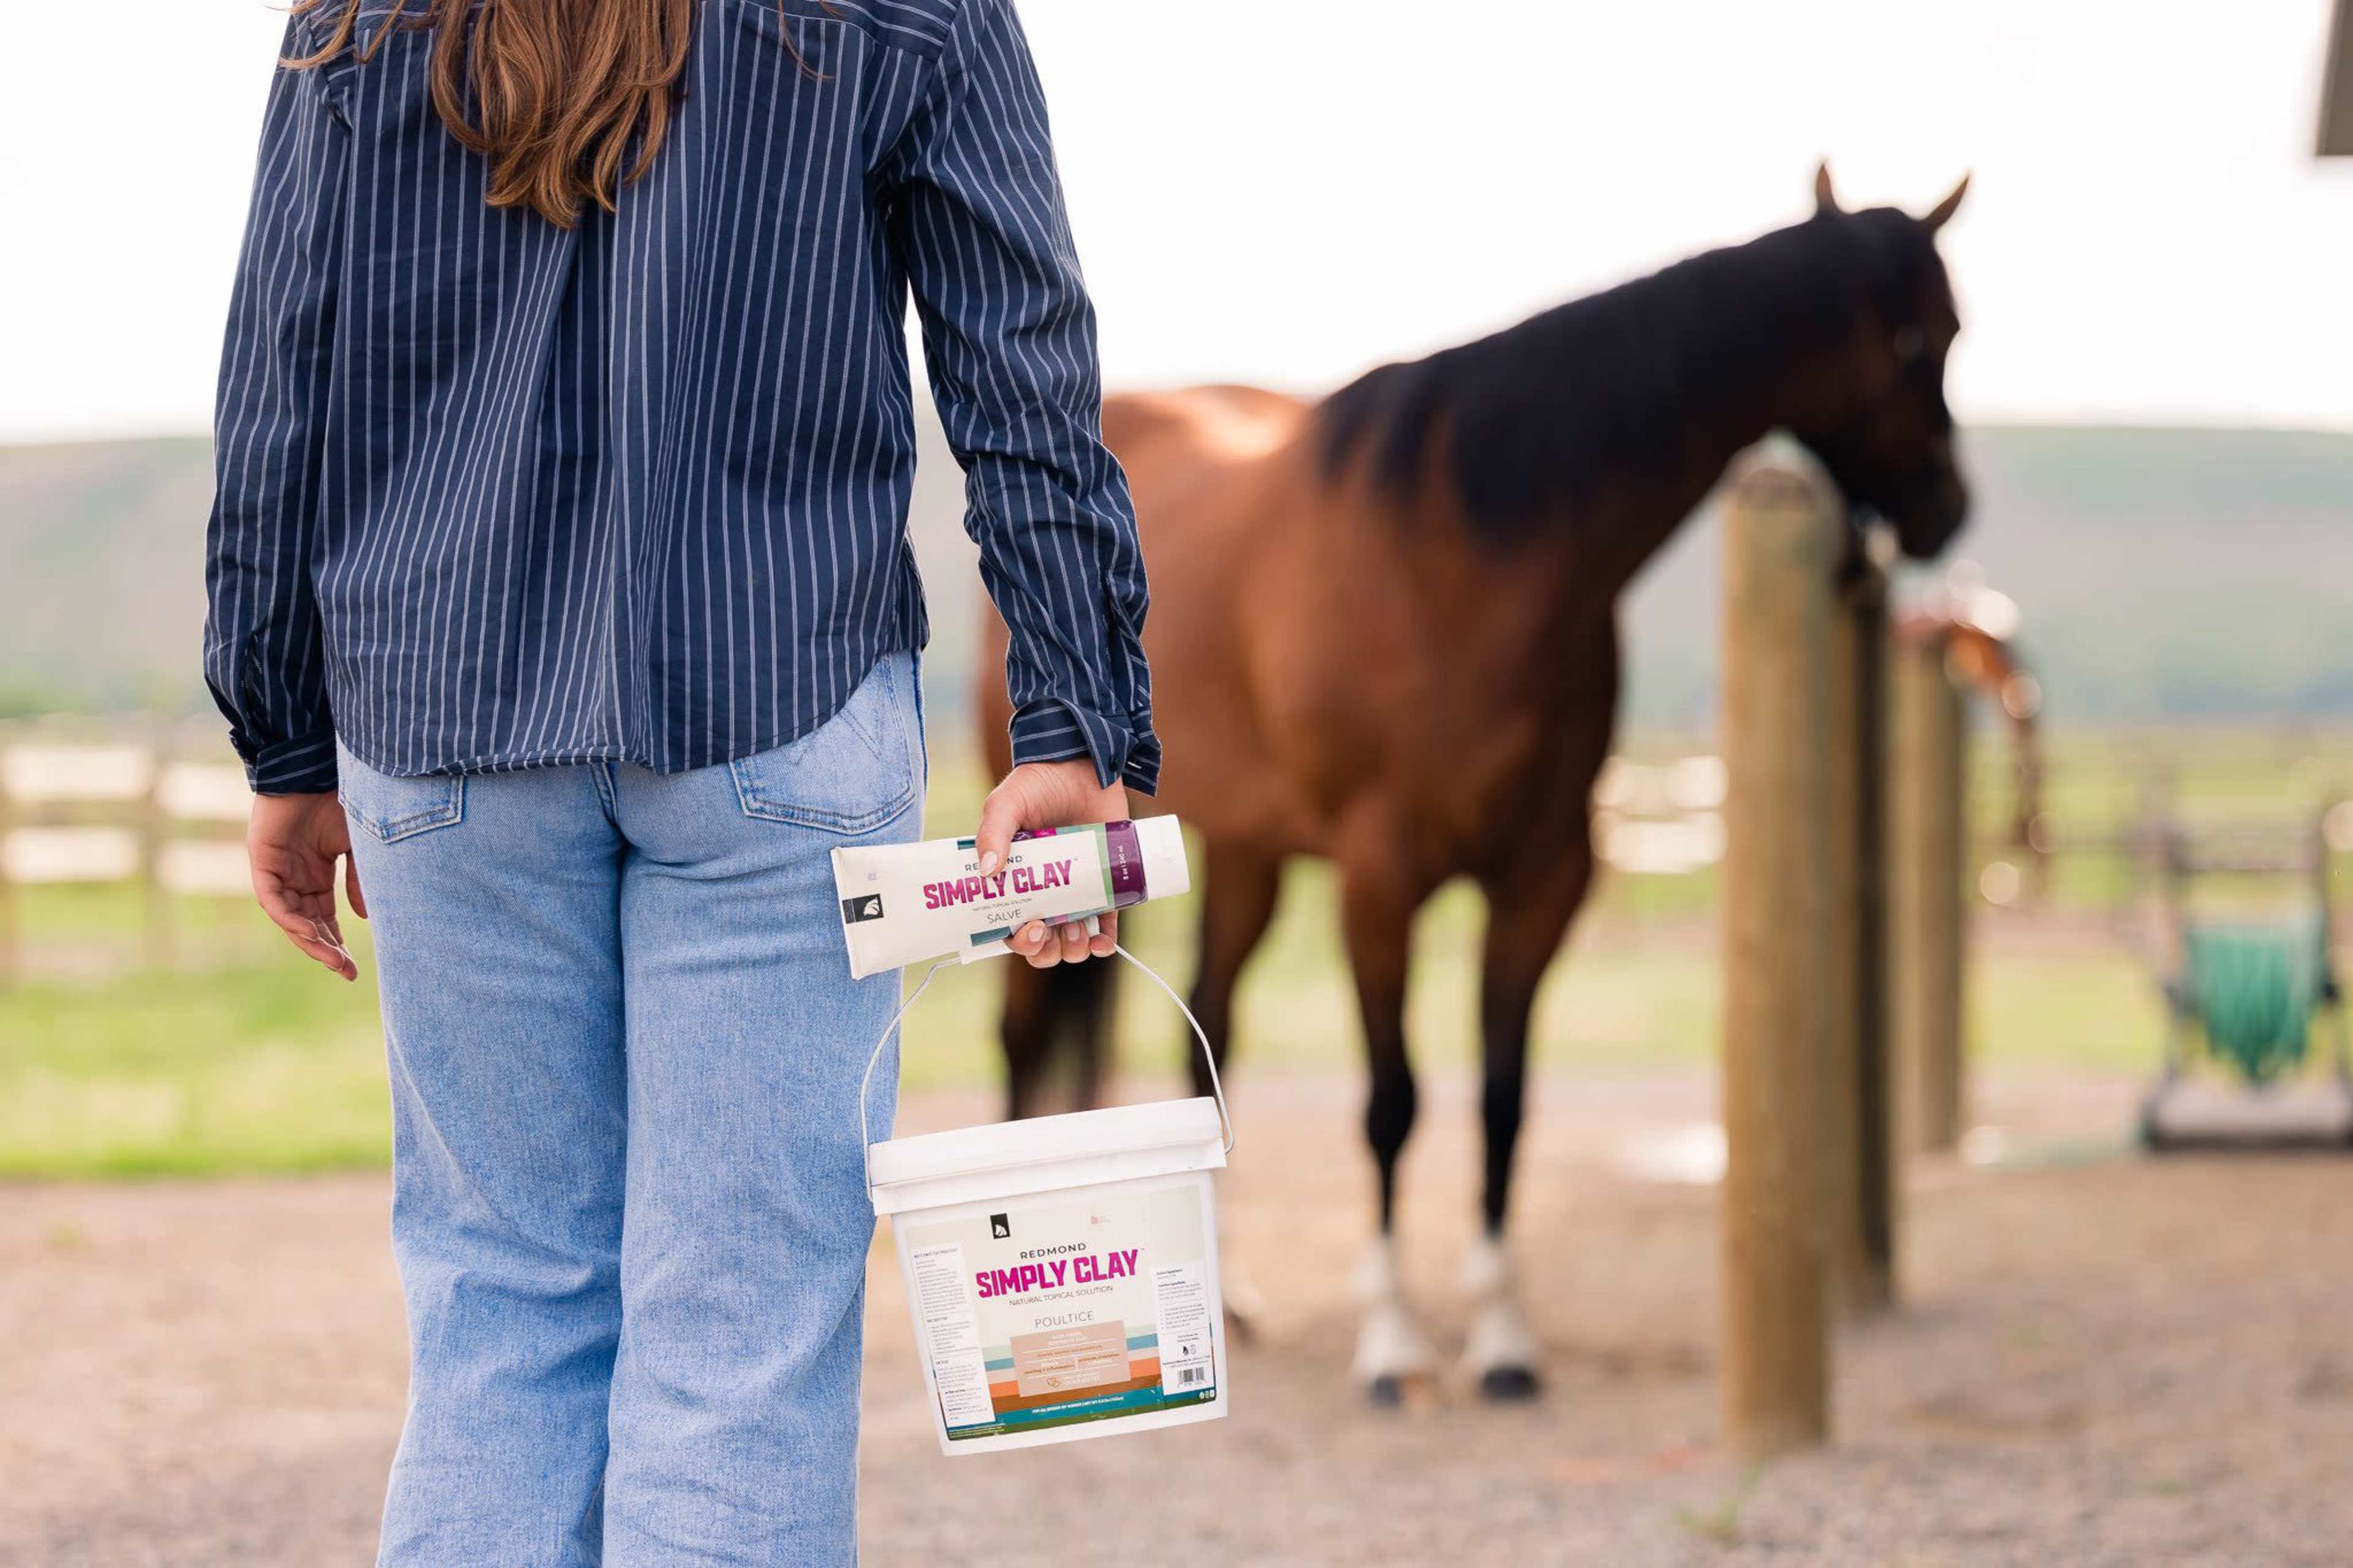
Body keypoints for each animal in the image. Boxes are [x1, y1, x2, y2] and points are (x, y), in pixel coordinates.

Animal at [979, 166, 1972, 1403]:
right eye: (1926, 335)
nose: (1949, 508)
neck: (1472, 555)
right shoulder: (1378, 882)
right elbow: (1393, 1100)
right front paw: (1392, 1338)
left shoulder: (1544, 875)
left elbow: (1503, 1098)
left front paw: (1502, 1335)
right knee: (1024, 1034)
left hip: (1249, 848)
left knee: (1210, 1024)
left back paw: (1233, 1295)